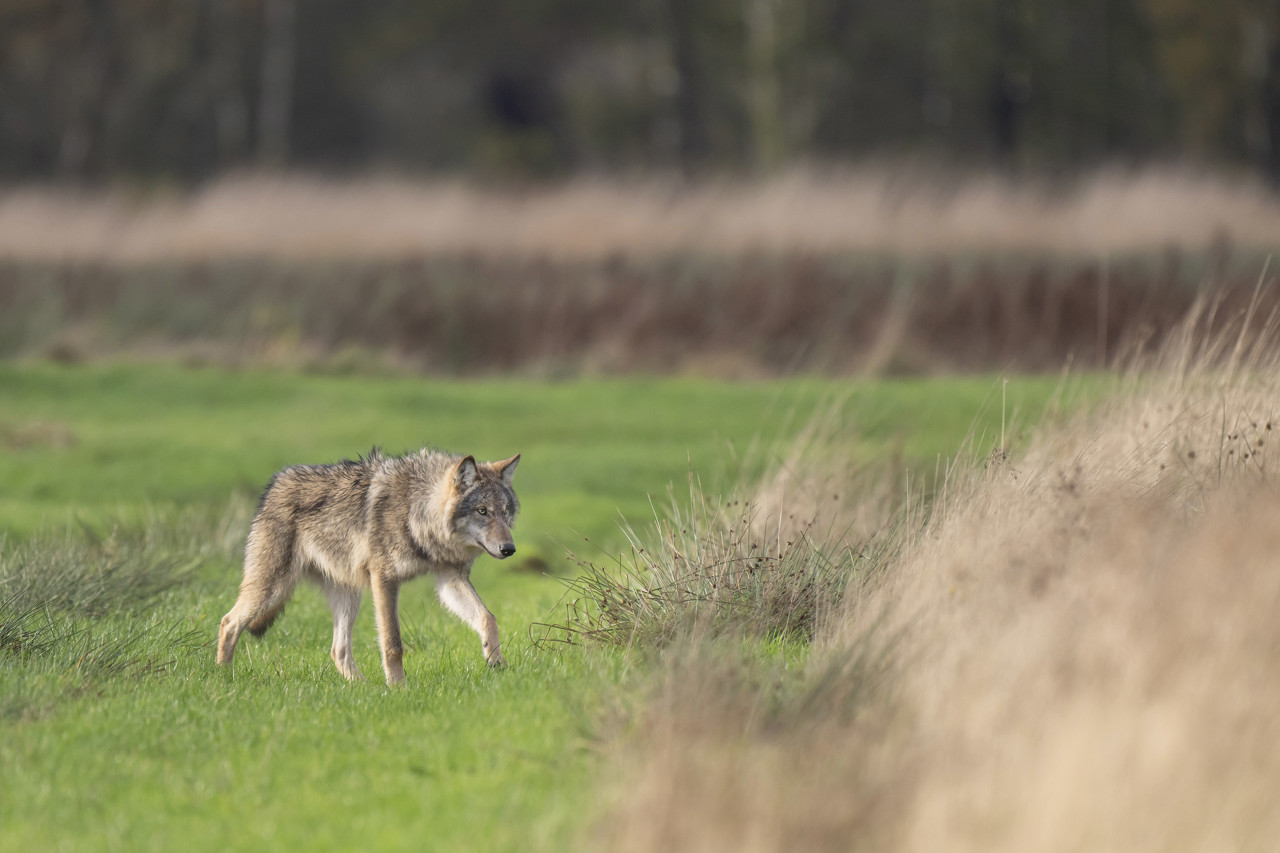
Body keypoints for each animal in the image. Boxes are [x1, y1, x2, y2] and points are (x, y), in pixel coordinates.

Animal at [216, 448, 520, 686]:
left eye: (505, 512)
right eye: (482, 511)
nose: (509, 549)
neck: (416, 513)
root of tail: (276, 482)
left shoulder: (450, 579)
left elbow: (488, 617)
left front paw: (496, 661)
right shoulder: (384, 579)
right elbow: (392, 643)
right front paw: (399, 688)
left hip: (348, 597)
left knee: (338, 650)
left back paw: (363, 688)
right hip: (273, 588)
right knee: (228, 622)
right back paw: (223, 677)